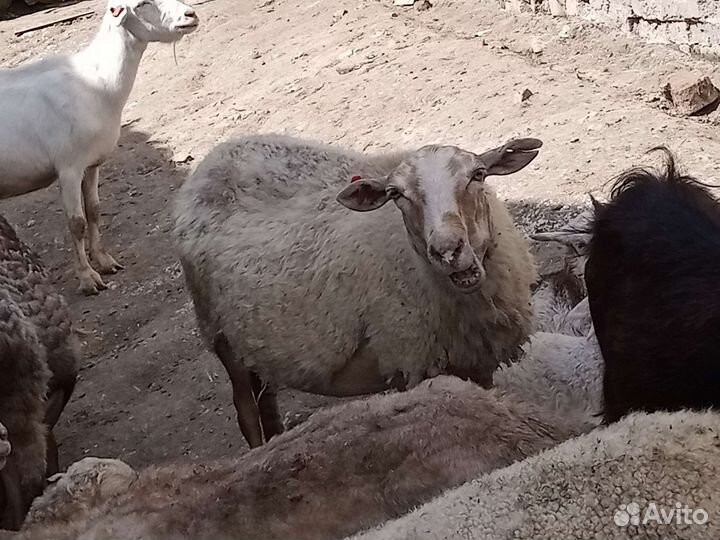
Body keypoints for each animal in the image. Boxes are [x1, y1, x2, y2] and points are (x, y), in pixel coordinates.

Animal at [0, 0, 199, 295]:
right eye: (142, 4)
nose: (191, 14)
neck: (97, 82)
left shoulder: (92, 163)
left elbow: (94, 210)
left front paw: (105, 261)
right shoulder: (69, 167)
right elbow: (77, 223)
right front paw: (87, 278)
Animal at [174, 134, 542, 447]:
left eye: (478, 174)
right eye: (396, 194)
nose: (447, 250)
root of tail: (212, 160)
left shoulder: (481, 360)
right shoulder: (415, 361)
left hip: (256, 343)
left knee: (268, 400)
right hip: (219, 333)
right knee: (246, 409)